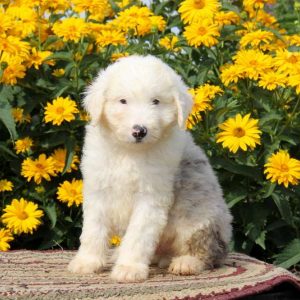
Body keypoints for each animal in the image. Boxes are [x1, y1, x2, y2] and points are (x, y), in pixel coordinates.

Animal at [68, 55, 232, 282]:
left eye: (156, 102)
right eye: (123, 101)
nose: (139, 131)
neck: (129, 153)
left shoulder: (151, 198)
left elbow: (138, 236)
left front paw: (129, 269)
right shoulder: (98, 190)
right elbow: (93, 231)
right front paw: (87, 262)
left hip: (199, 220)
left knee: (208, 253)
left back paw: (185, 263)